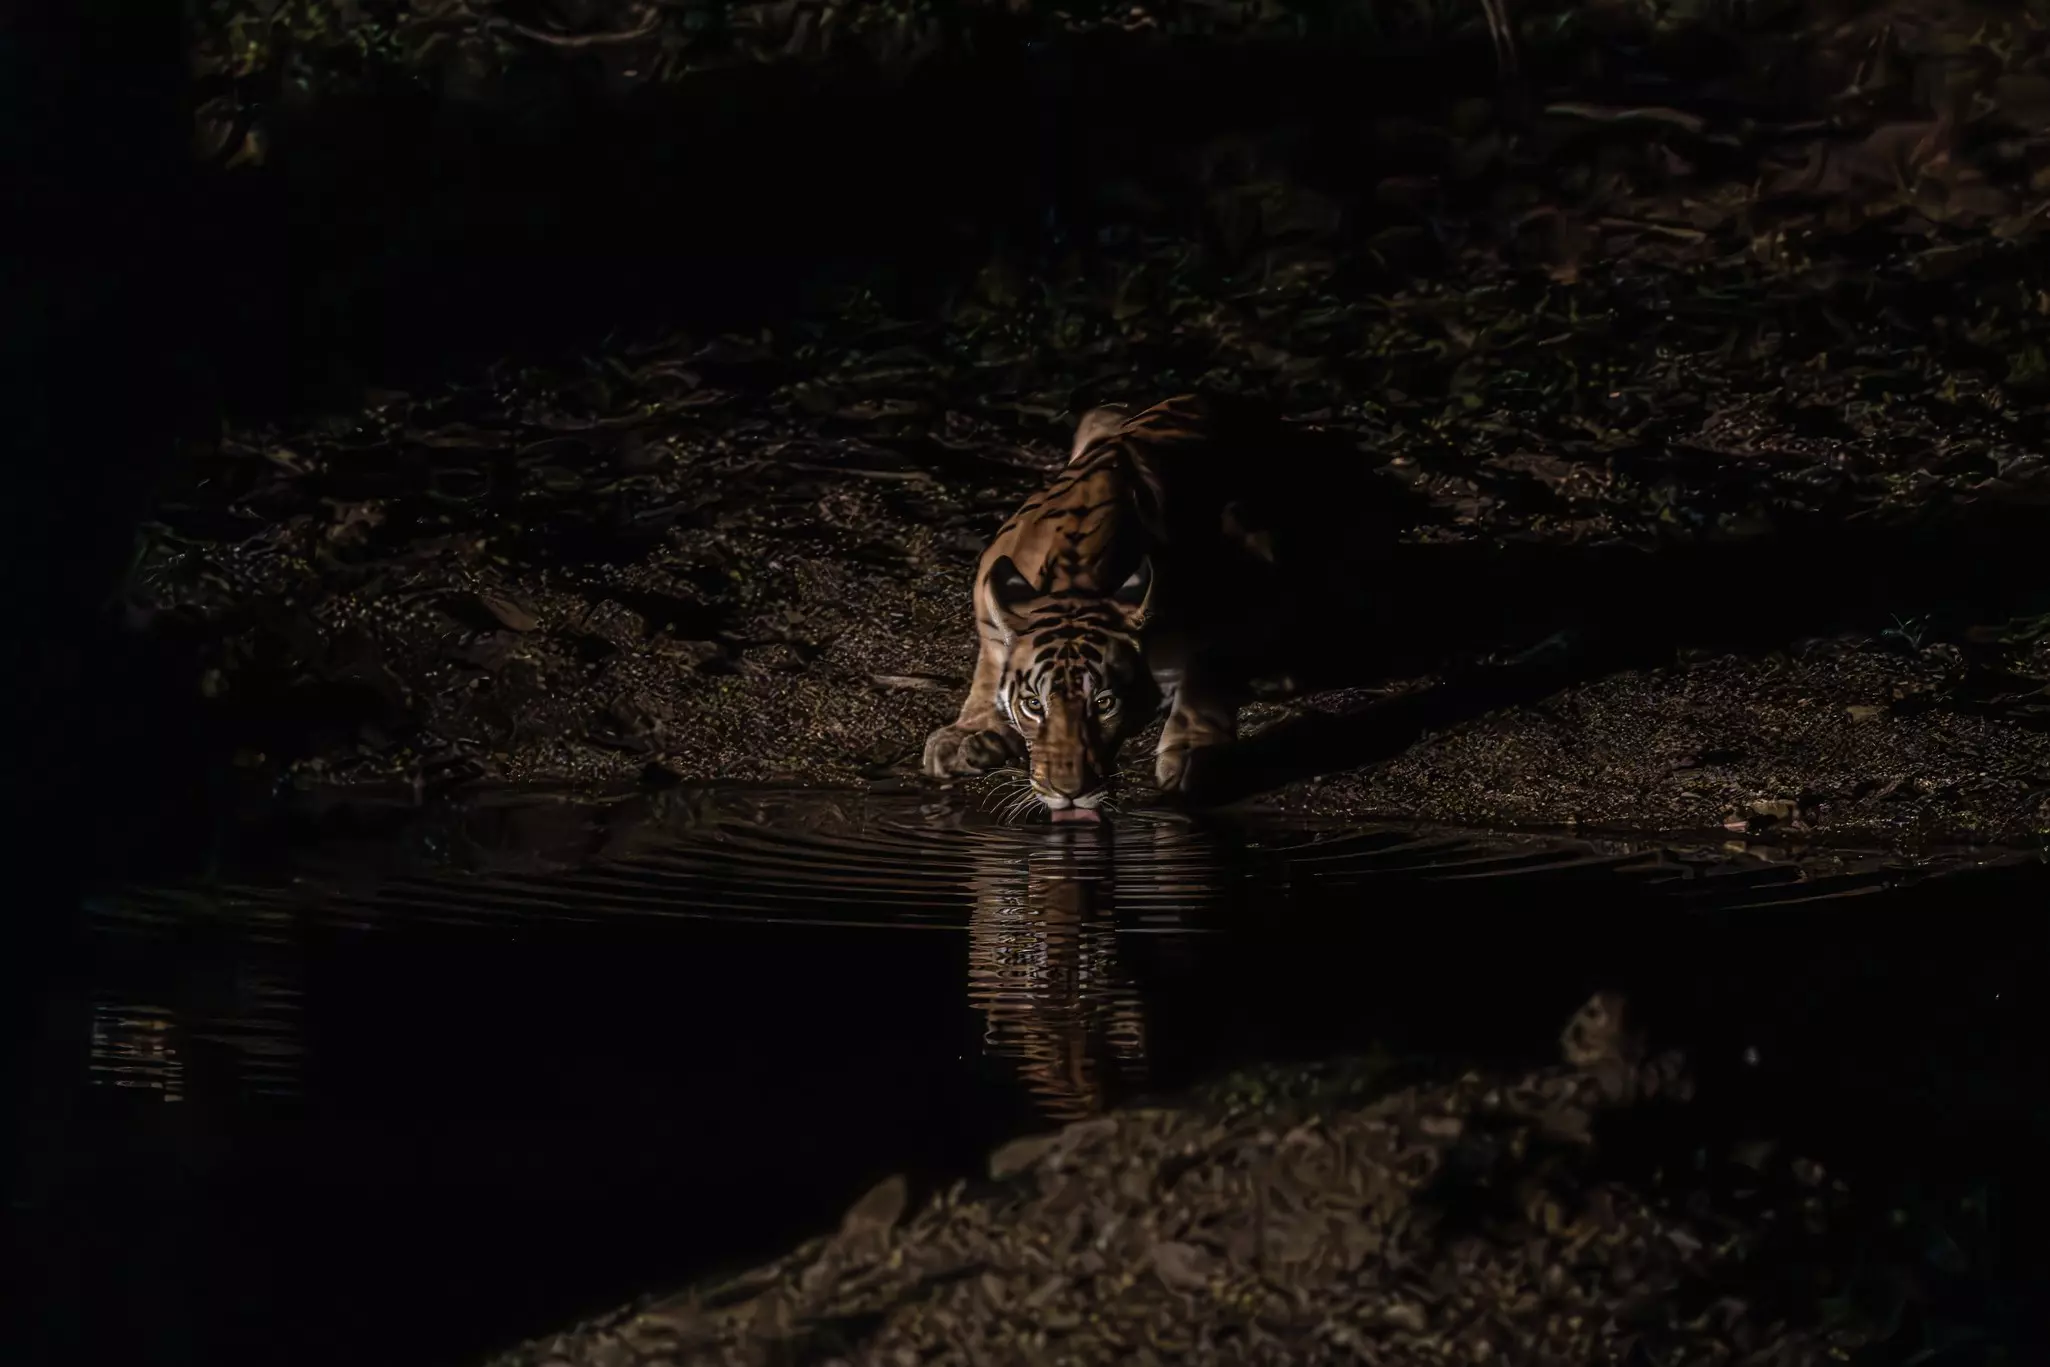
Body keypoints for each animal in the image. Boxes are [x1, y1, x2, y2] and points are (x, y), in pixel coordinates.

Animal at [921, 392, 1304, 823]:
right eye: (1034, 704)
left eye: (1104, 703)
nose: (1068, 792)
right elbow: (990, 664)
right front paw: (968, 734)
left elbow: (1208, 669)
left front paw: (1196, 754)